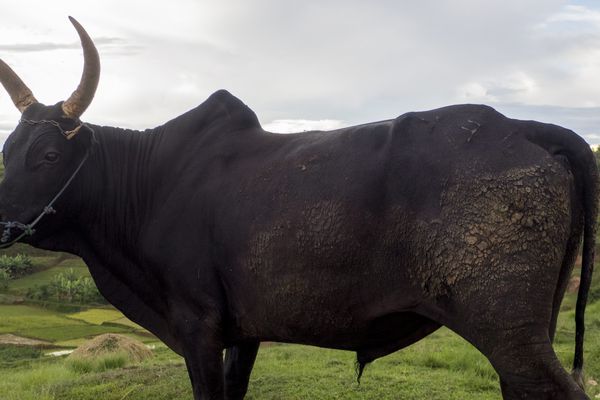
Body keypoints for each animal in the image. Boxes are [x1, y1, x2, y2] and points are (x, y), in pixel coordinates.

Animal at [0, 88, 596, 400]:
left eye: (49, 155)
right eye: (7, 149)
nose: (2, 225)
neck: (147, 187)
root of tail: (523, 126)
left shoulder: (197, 328)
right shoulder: (242, 333)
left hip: (511, 336)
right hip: (526, 335)